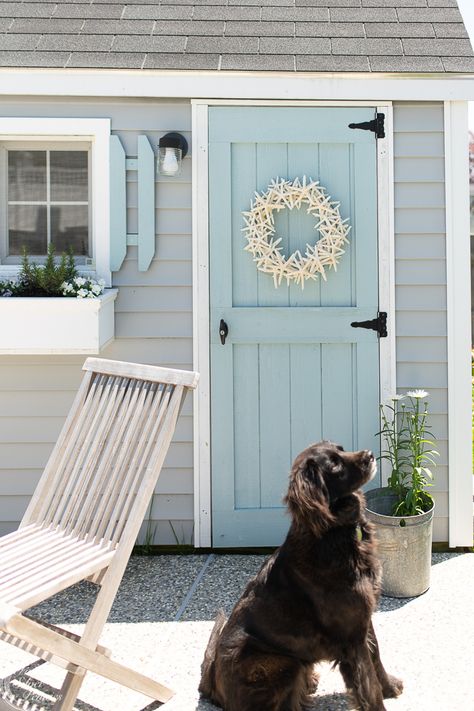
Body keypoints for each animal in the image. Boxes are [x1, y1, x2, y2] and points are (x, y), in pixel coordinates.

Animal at [198, 442, 402, 708]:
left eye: (341, 449)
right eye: (334, 464)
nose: (369, 455)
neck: (333, 533)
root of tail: (210, 682)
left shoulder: (363, 618)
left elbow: (376, 656)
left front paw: (390, 686)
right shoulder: (351, 637)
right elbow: (368, 685)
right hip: (284, 662)